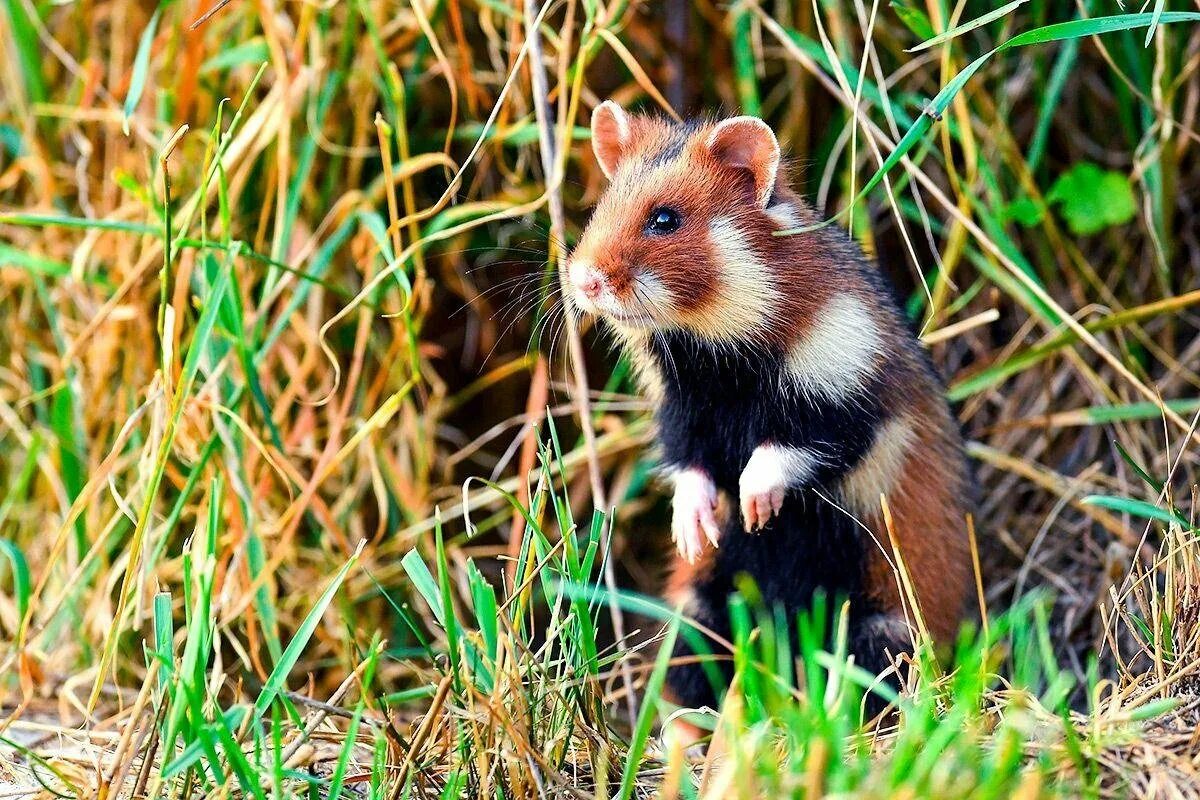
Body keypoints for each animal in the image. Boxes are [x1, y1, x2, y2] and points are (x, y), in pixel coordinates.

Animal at [561, 100, 974, 724]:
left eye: (665, 219)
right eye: (601, 207)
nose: (582, 280)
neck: (718, 358)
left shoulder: (852, 397)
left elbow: (790, 447)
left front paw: (756, 507)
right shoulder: (681, 411)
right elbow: (689, 466)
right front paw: (693, 529)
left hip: (884, 626)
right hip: (700, 610)